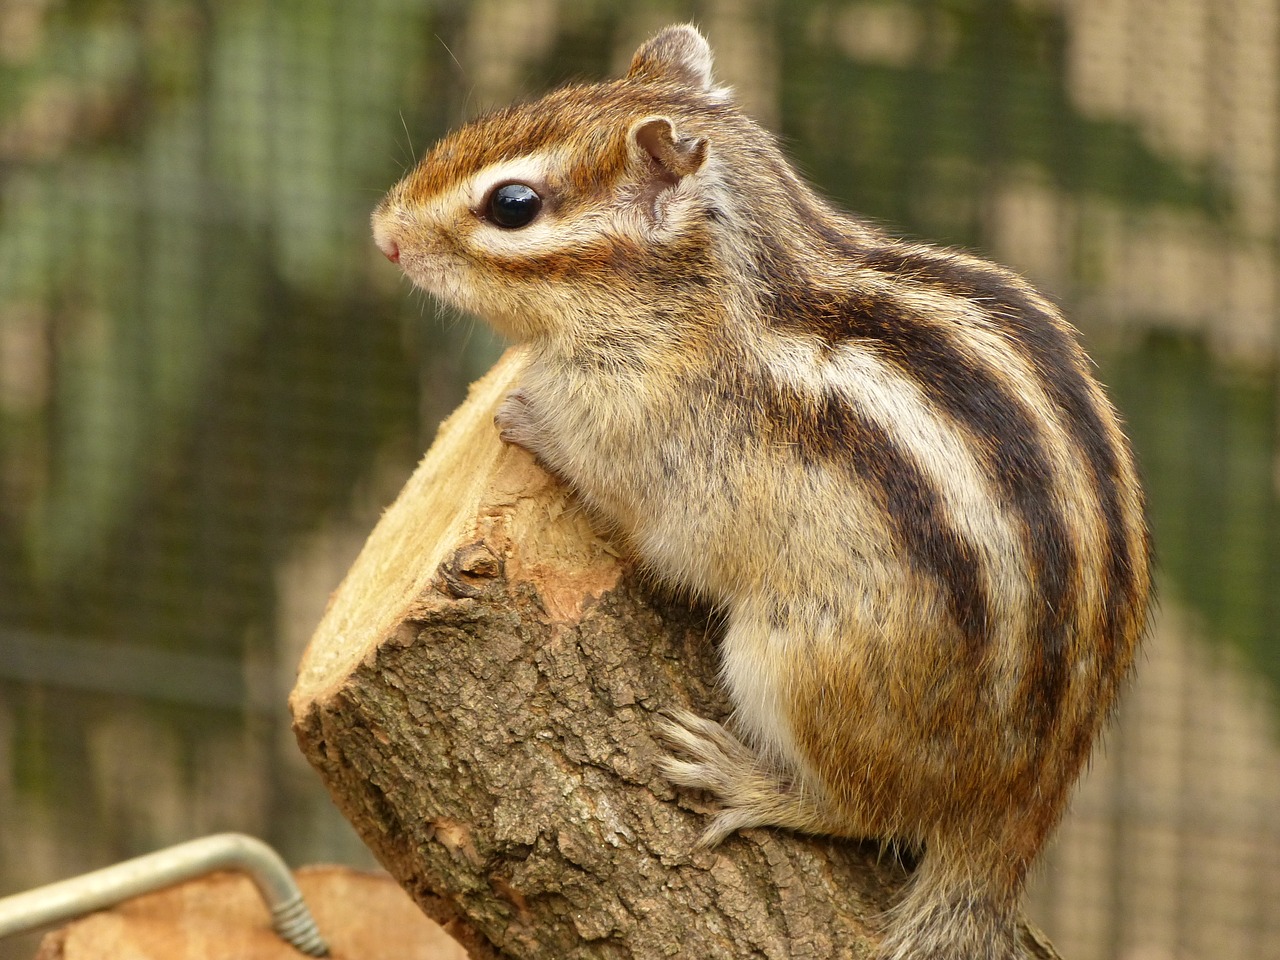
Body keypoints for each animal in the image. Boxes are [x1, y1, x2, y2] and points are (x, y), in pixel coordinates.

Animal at [371, 22, 1152, 960]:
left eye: (513, 205)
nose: (382, 233)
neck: (703, 301)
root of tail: (1023, 803)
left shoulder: (650, 442)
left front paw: (526, 415)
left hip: (797, 666)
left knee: (862, 806)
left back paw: (746, 781)